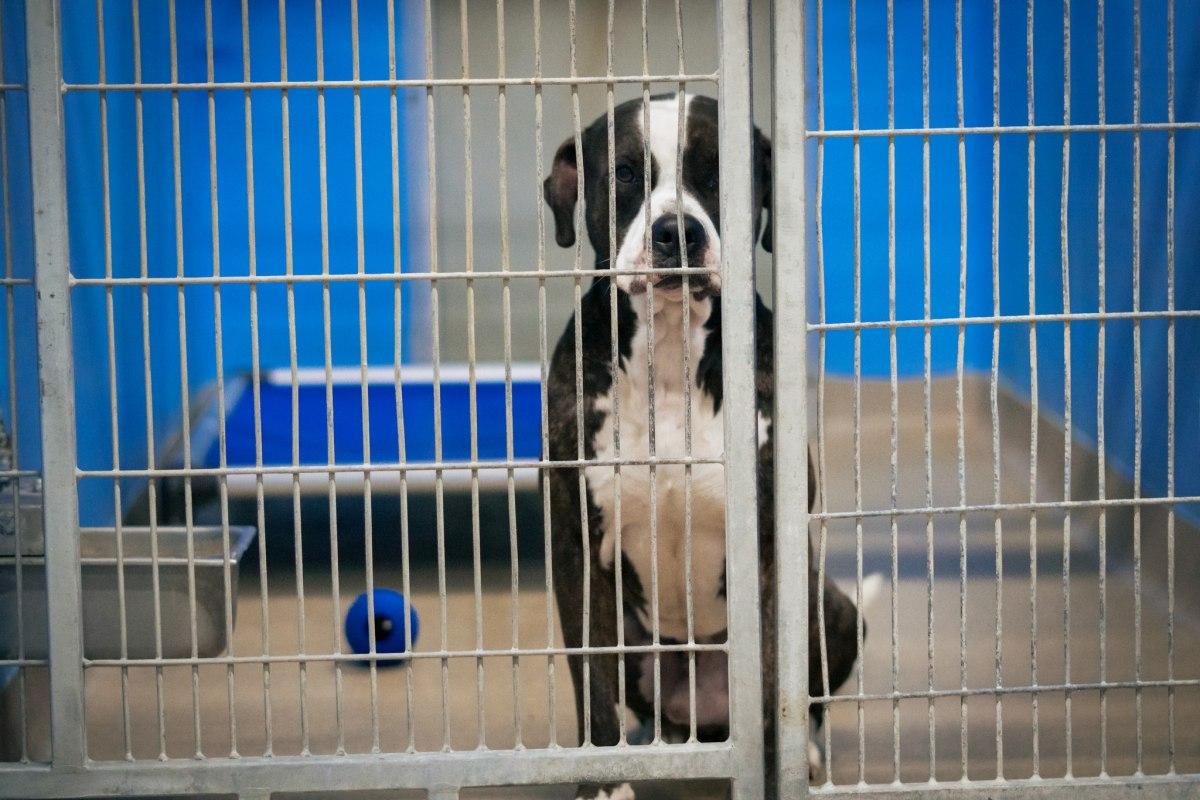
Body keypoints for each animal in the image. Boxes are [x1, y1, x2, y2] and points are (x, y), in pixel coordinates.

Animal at [542, 90, 864, 796]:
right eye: (625, 173)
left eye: (719, 174)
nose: (677, 232)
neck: (667, 355)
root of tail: (706, 717)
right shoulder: (576, 547)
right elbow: (590, 677)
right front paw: (602, 781)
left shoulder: (771, 545)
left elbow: (775, 682)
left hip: (833, 607)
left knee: (808, 699)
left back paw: (808, 755)